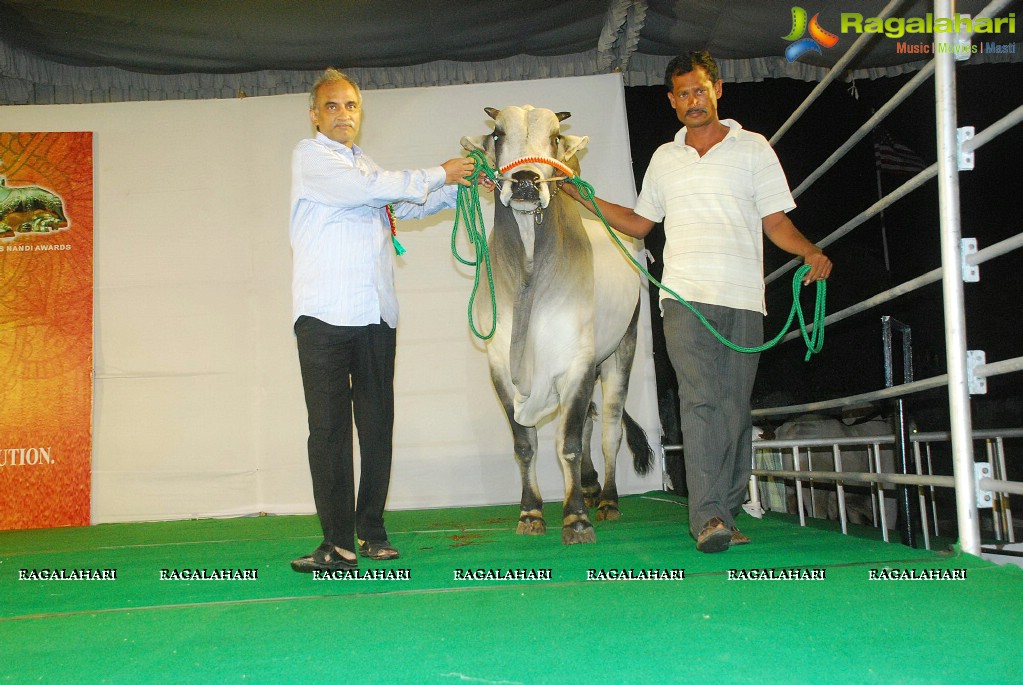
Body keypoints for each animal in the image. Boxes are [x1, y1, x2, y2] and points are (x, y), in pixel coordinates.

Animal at [462, 104, 650, 543]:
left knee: (608, 429)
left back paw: (607, 500)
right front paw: (531, 512)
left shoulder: (576, 363)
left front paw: (576, 518)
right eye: (497, 134)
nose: (526, 181)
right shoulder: (501, 368)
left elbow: (567, 443)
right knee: (588, 421)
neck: (530, 265)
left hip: (621, 351)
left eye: (554, 137)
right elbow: (525, 444)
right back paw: (589, 485)